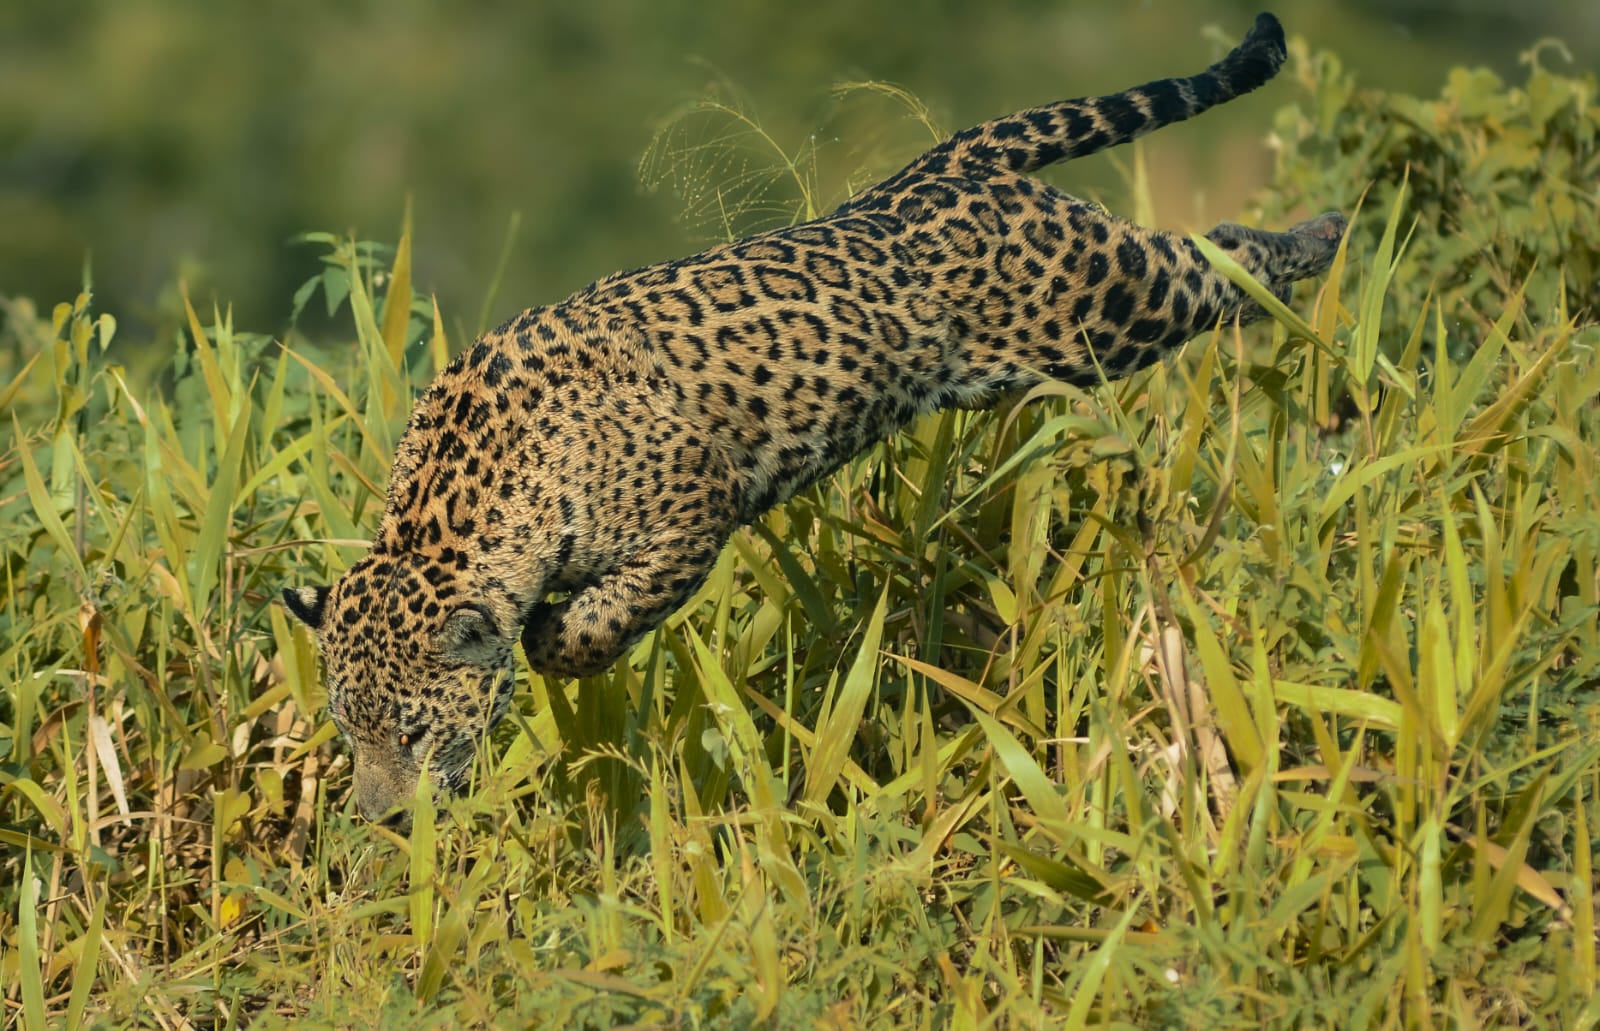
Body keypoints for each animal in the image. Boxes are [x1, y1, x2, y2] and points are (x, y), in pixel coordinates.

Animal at [282, 12, 1347, 827]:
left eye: (414, 731)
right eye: (346, 731)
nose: (380, 820)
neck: (461, 501)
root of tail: (946, 165)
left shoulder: (694, 504)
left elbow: (588, 624)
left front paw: (553, 634)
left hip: (1103, 306)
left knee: (1218, 256)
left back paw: (1323, 233)